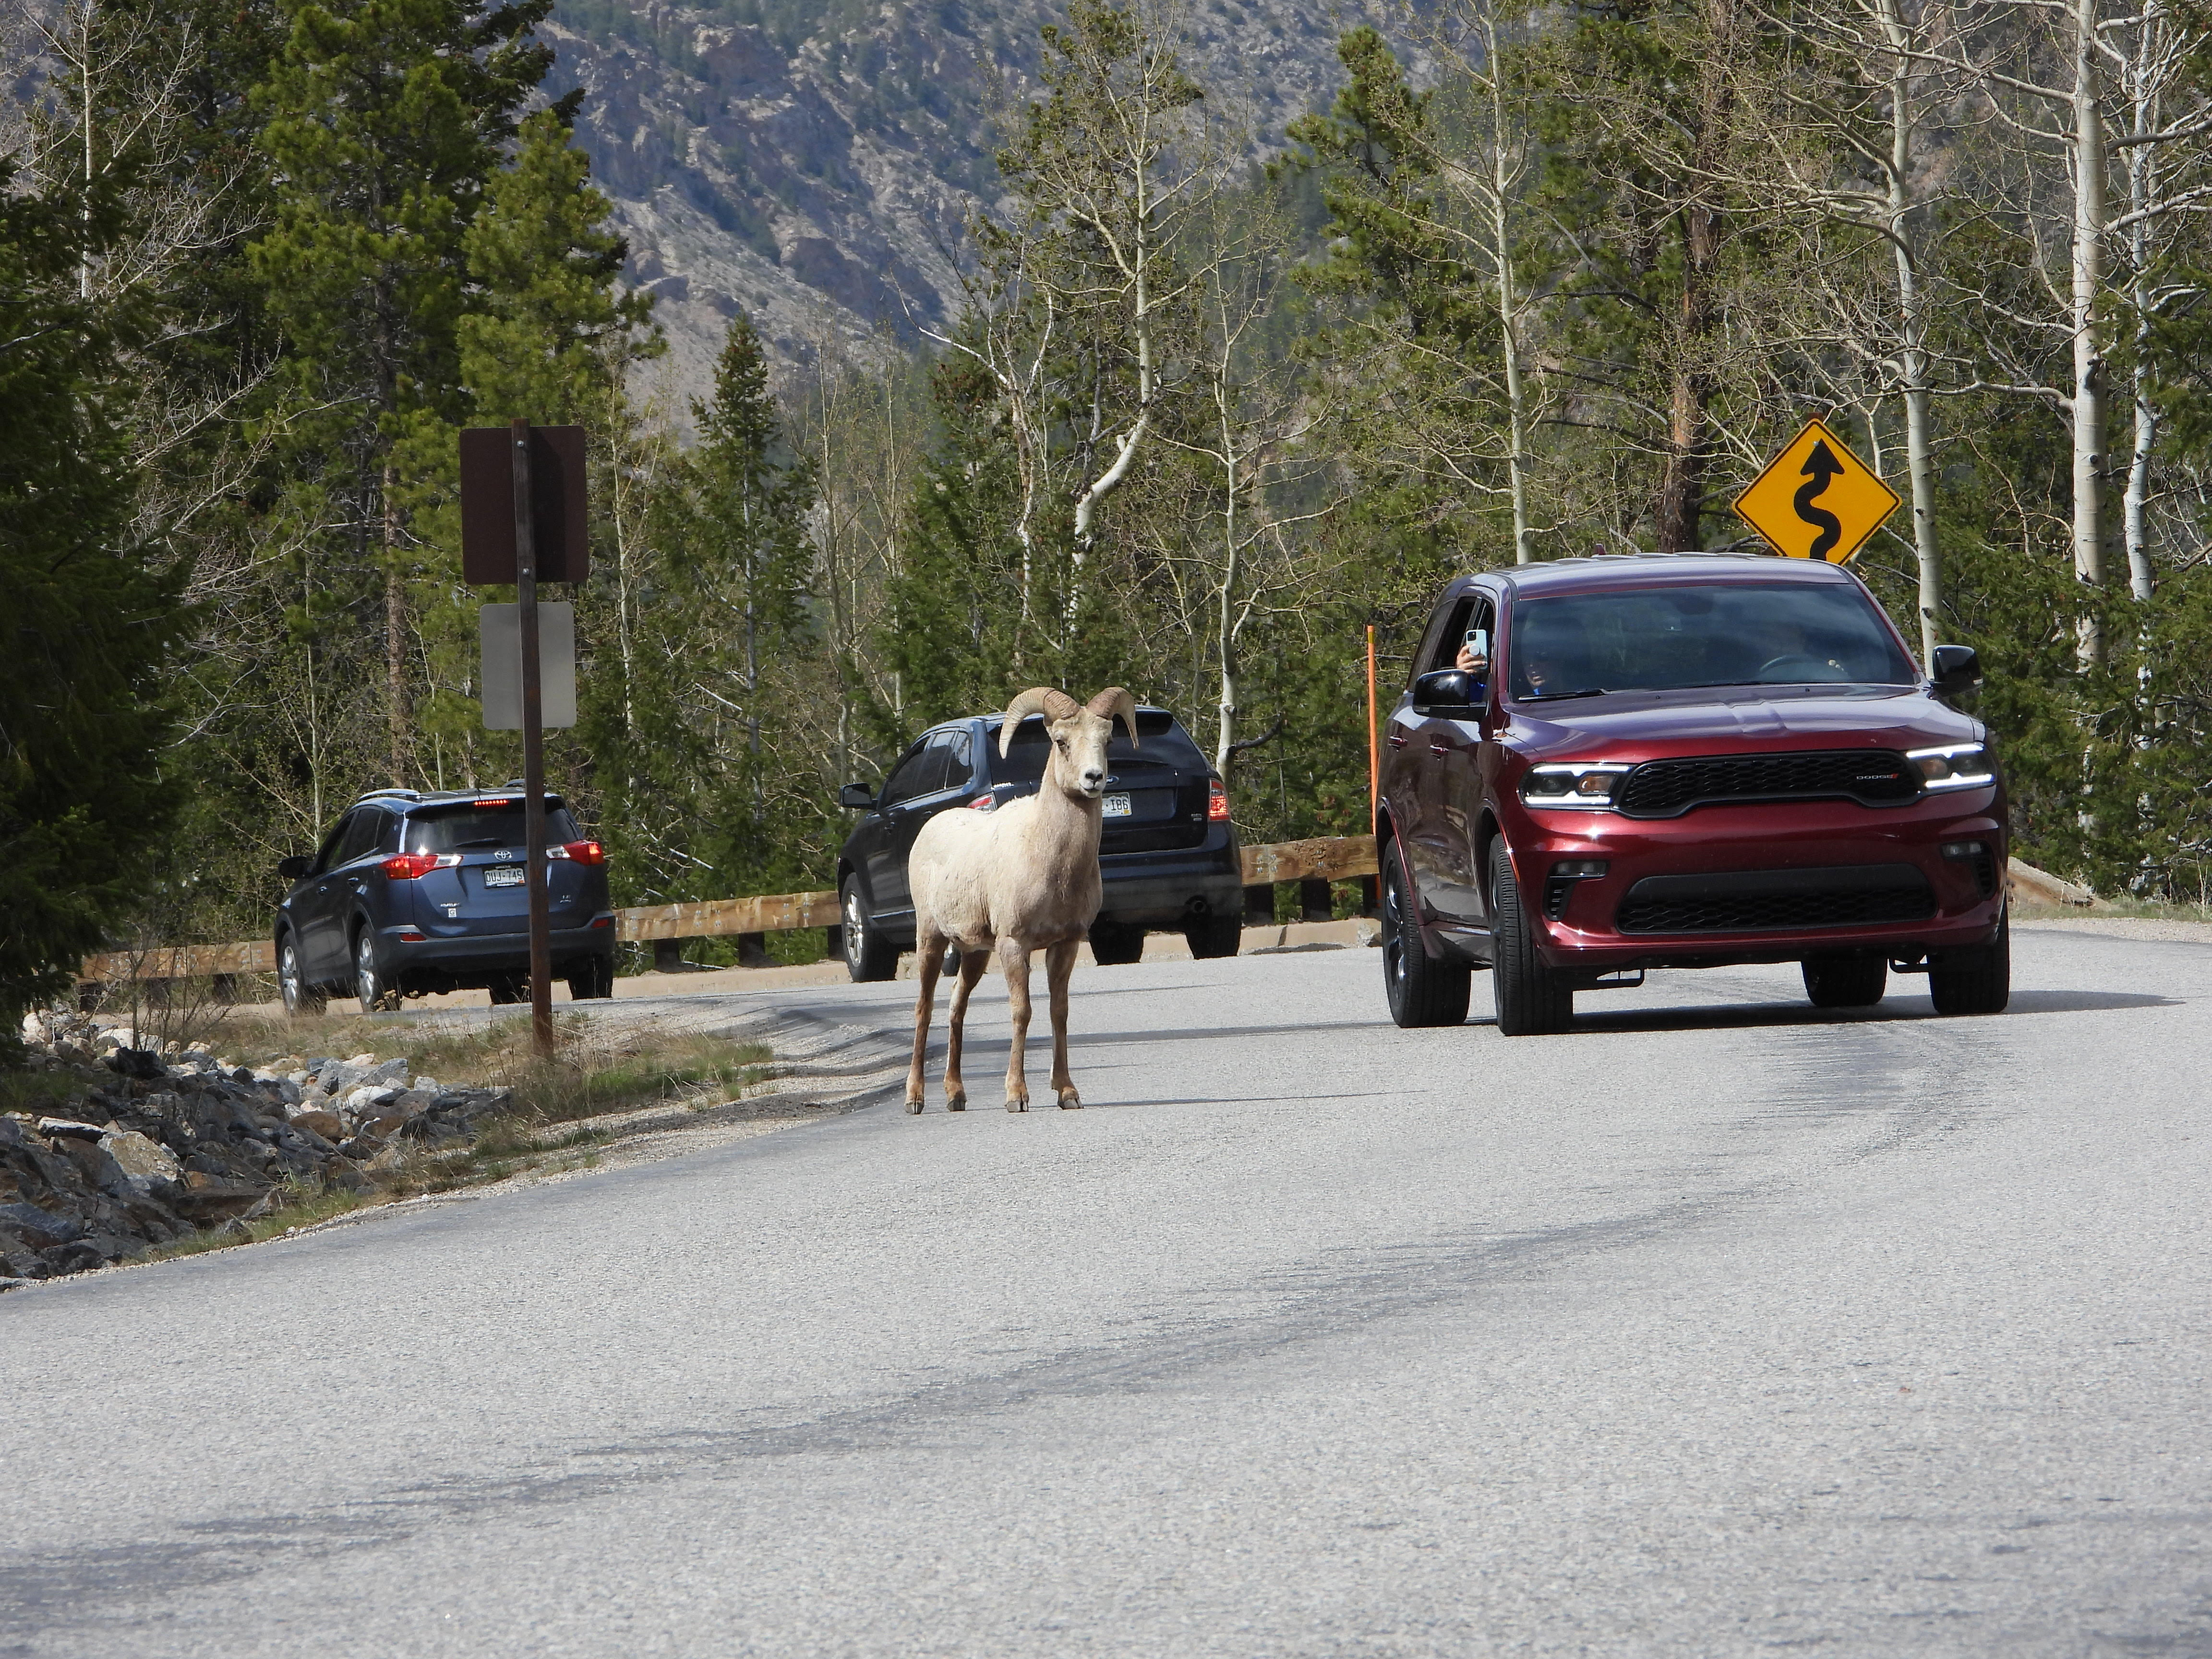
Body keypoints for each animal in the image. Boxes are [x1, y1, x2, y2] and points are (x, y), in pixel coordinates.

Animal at [902, 690, 1141, 1119]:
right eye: (1061, 742)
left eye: (1108, 740)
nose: (1094, 778)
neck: (1050, 860)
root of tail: (930, 828)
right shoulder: (1015, 944)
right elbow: (1022, 1011)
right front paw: (1017, 1096)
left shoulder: (1065, 944)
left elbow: (1059, 1011)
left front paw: (1067, 1093)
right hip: (930, 938)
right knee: (924, 1008)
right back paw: (915, 1099)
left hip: (975, 953)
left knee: (956, 1007)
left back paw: (956, 1096)